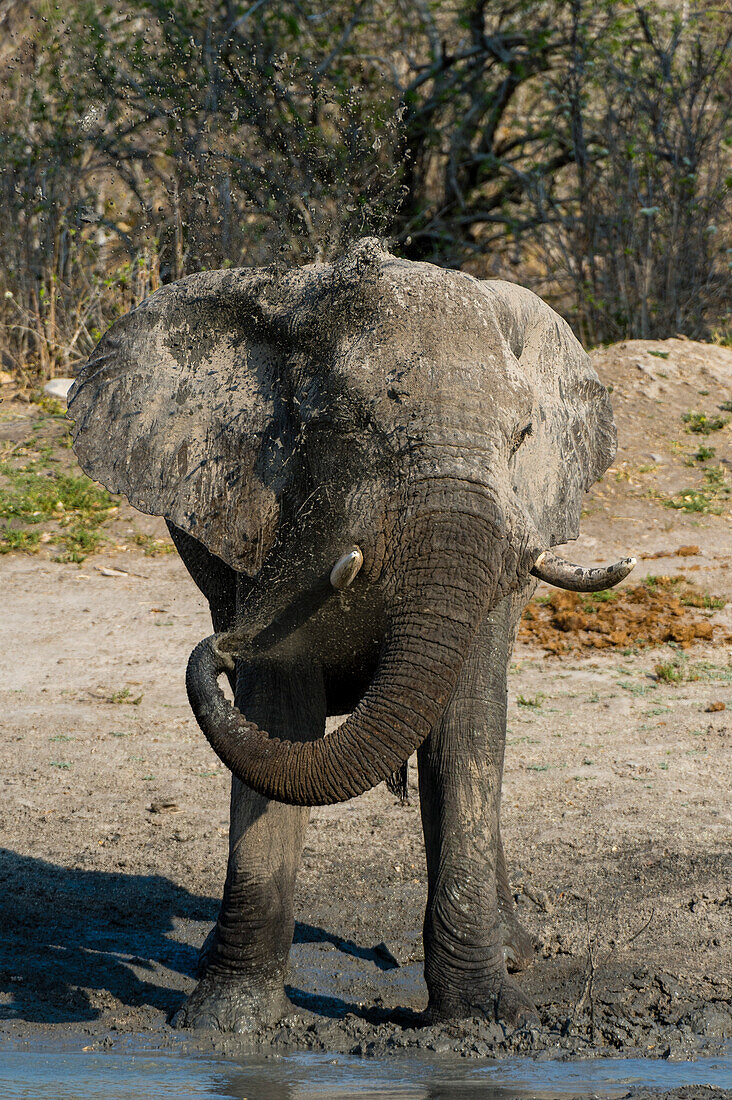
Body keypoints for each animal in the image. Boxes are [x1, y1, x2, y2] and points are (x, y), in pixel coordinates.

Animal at [68, 238, 629, 1029]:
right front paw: (226, 1026)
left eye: (522, 438)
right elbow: (279, 713)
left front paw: (484, 1018)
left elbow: (467, 731)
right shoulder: (264, 521)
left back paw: (515, 949)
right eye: (354, 426)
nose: (221, 652)